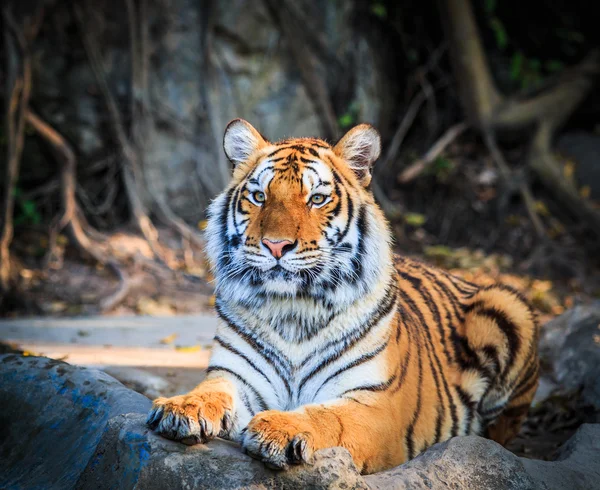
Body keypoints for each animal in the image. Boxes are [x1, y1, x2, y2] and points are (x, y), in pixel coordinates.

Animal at [148, 118, 540, 474]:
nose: (275, 245)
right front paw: (180, 408)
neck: (293, 309)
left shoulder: (375, 405)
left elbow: (328, 417)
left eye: (317, 199)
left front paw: (280, 428)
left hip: (509, 306)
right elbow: (208, 391)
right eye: (259, 196)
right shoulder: (235, 375)